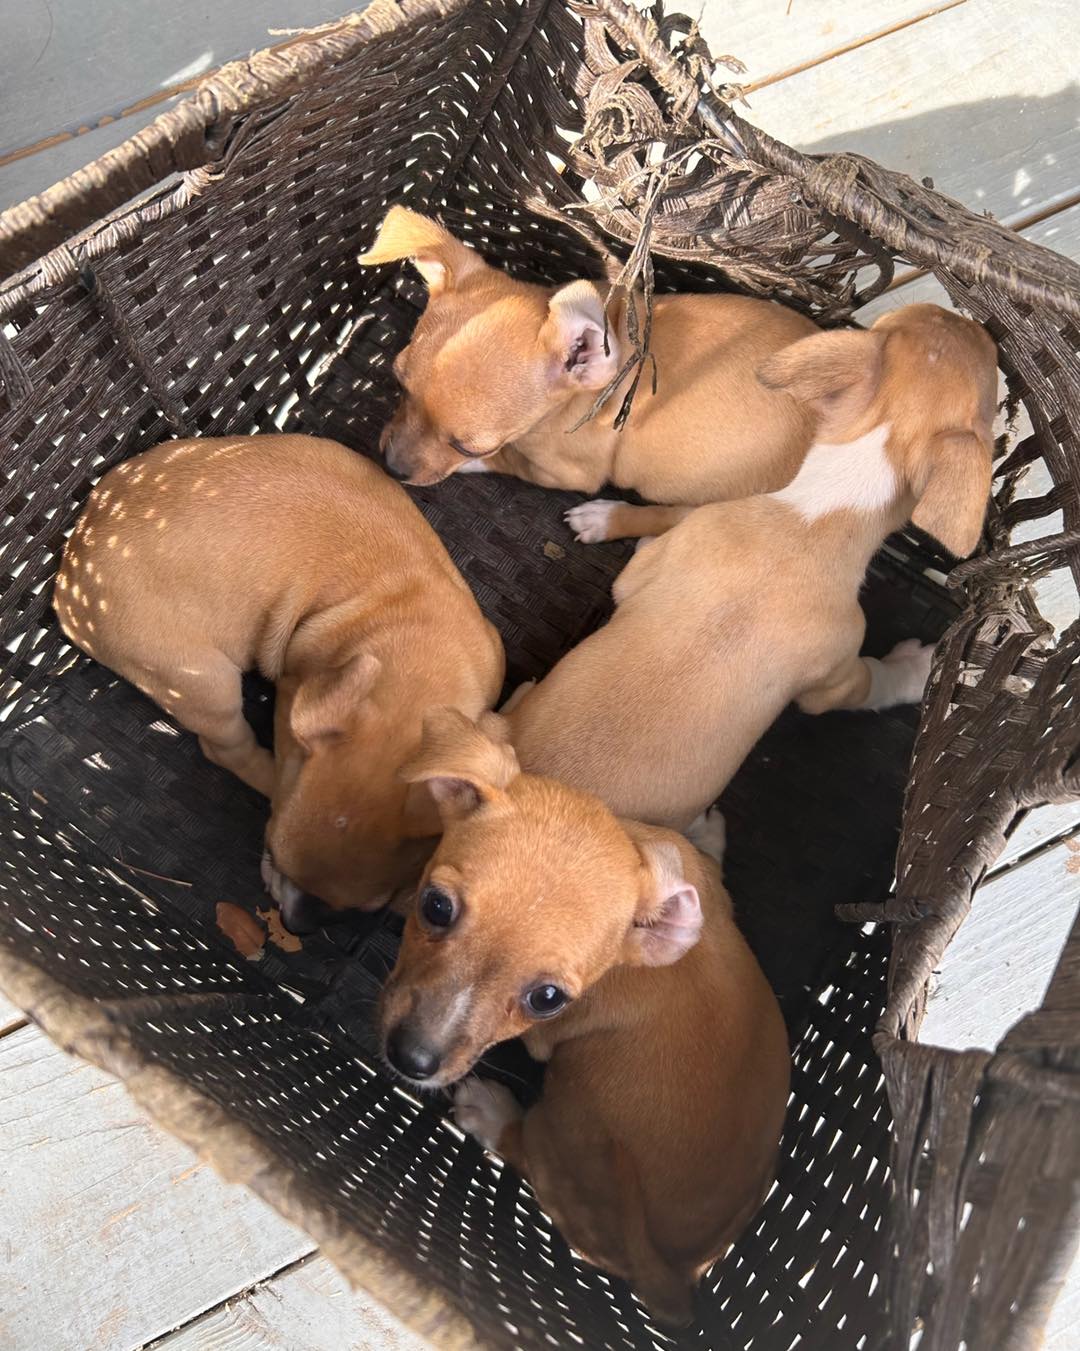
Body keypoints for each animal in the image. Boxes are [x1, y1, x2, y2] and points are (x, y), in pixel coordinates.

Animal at [52, 432, 505, 929]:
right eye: (271, 849)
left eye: (368, 907)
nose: (296, 924)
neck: (417, 669)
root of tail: (70, 579)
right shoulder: (293, 692)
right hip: (204, 680)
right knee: (226, 747)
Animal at [356, 208, 821, 505]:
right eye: (398, 384)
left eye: (467, 445)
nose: (391, 467)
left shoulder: (561, 473)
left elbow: (508, 460)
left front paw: (471, 466)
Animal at [383, 713, 789, 1323]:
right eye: (436, 906)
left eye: (548, 998)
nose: (412, 1060)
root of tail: (676, 1276)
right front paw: (708, 836)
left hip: (575, 1113)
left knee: (532, 1153)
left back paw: (491, 1112)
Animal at [510, 308, 1000, 832]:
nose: (973, 320)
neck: (825, 503)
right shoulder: (838, 675)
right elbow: (877, 680)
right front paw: (918, 667)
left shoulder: (658, 559)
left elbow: (648, 551)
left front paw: (613, 523)